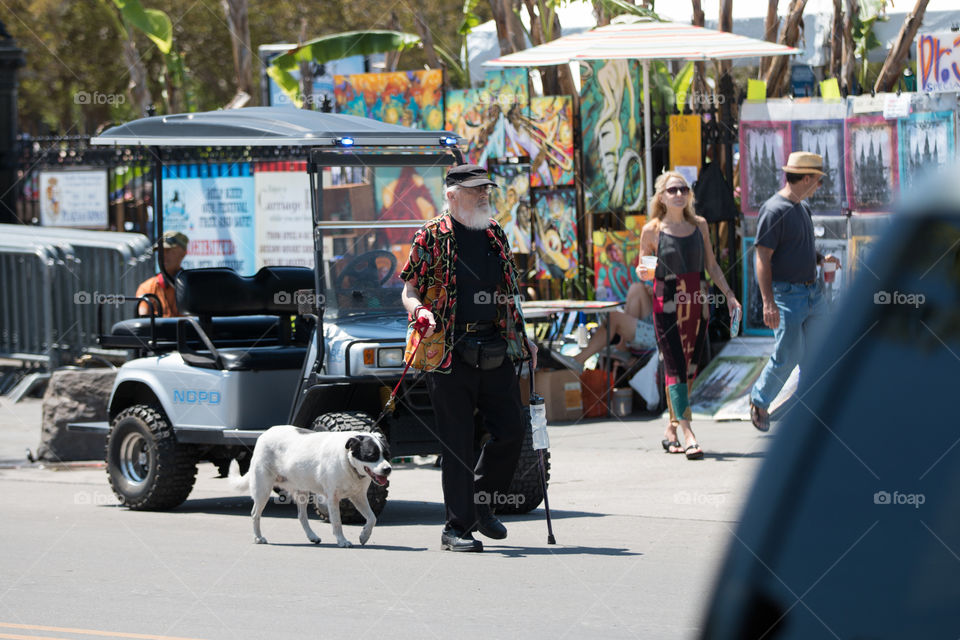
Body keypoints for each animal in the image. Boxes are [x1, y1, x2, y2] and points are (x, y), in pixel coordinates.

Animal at [231, 424, 392, 544]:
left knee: (301, 516)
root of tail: (264, 434)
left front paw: (364, 535)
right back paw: (258, 537)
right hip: (262, 490)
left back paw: (312, 536)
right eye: (371, 455)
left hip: (301, 491)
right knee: (255, 514)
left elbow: (372, 518)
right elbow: (337, 522)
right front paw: (342, 541)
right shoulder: (333, 499)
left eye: (387, 455)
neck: (348, 461)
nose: (388, 469)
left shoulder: (359, 497)